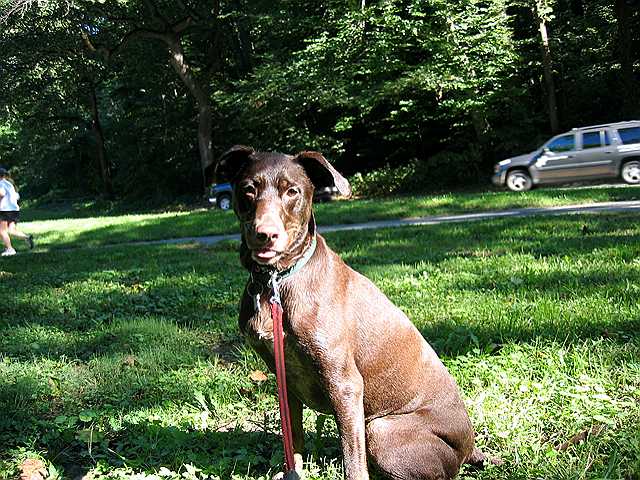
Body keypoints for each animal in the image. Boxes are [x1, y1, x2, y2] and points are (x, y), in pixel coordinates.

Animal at [218, 147, 482, 480]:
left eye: (292, 192)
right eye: (248, 189)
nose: (265, 234)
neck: (276, 282)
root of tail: (469, 448)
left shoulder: (345, 385)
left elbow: (353, 461)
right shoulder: (284, 379)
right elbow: (294, 439)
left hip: (381, 430)